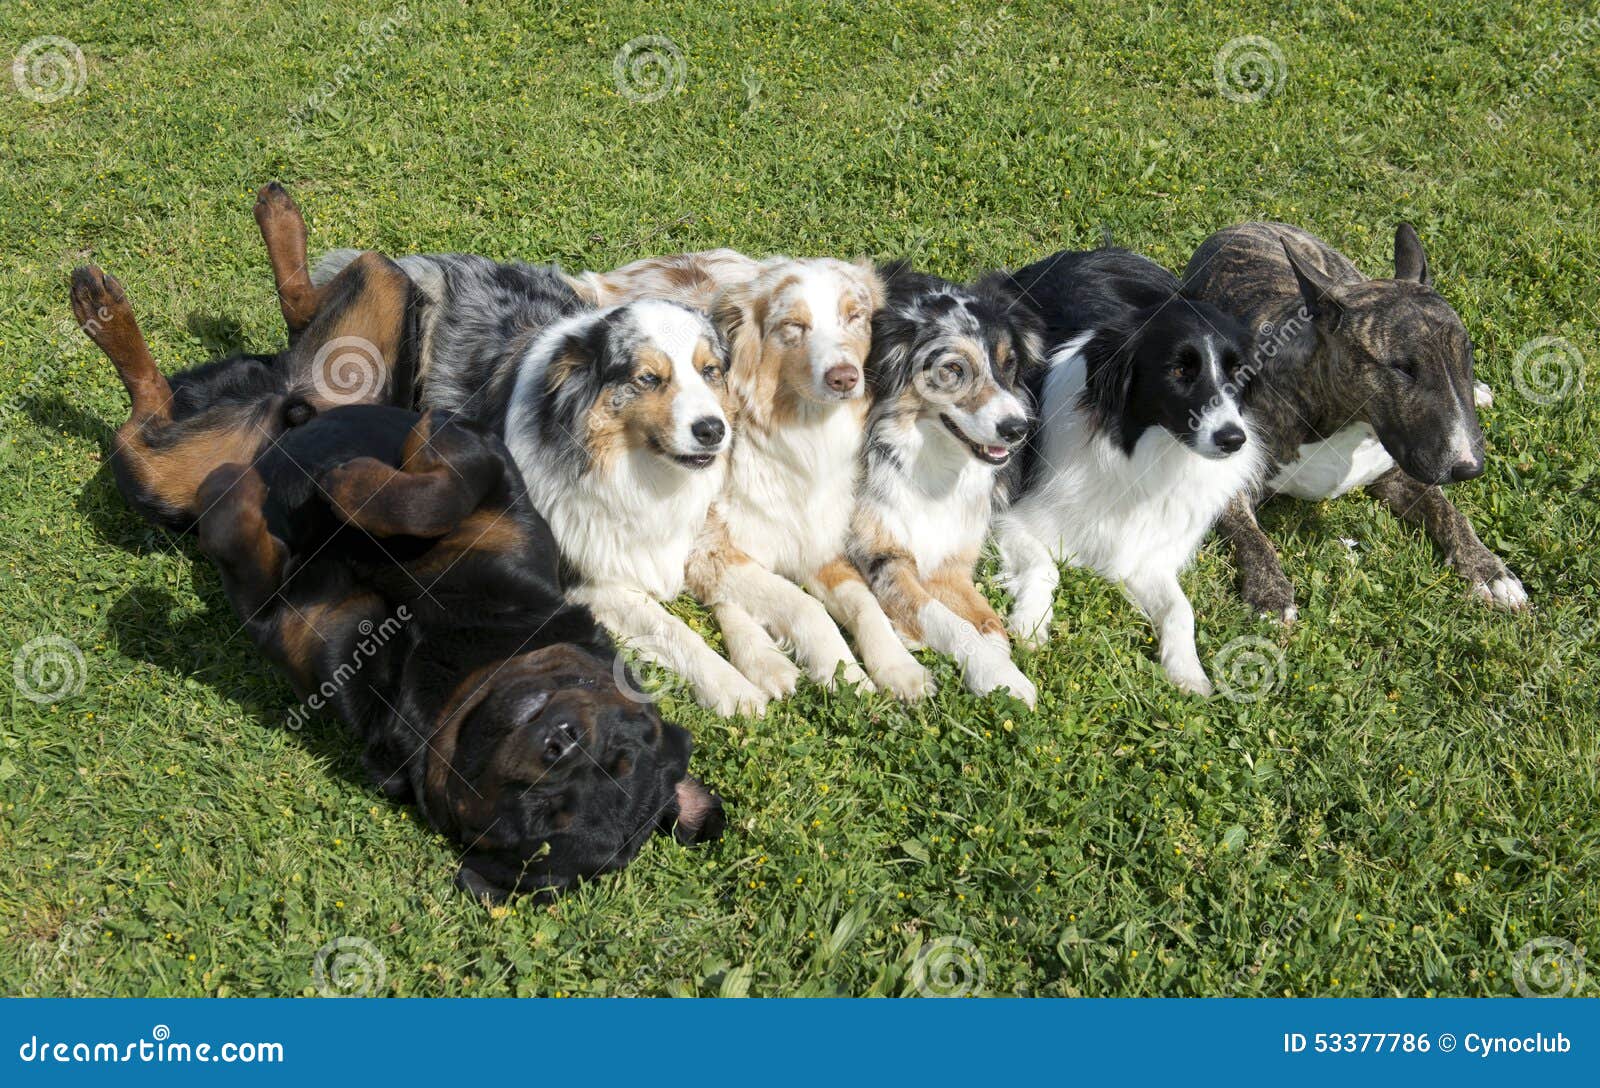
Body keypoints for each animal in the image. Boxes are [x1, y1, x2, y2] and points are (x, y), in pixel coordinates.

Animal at [70, 220, 726, 902]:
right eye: (622, 741)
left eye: (547, 825)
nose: (561, 743)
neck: (459, 657)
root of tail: (267, 394)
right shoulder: (481, 460)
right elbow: (432, 489)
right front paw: (348, 482)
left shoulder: (277, 614)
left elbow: (237, 527)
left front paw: (274, 491)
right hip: (378, 321)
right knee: (318, 300)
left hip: (160, 480)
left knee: (146, 425)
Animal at [1190, 222, 1523, 620]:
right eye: (1402, 367)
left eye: (1467, 353)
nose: (1469, 469)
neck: (1346, 426)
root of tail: (1245, 224)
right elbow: (1251, 536)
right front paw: (1270, 595)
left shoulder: (1397, 474)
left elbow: (1451, 513)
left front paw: (1490, 571)